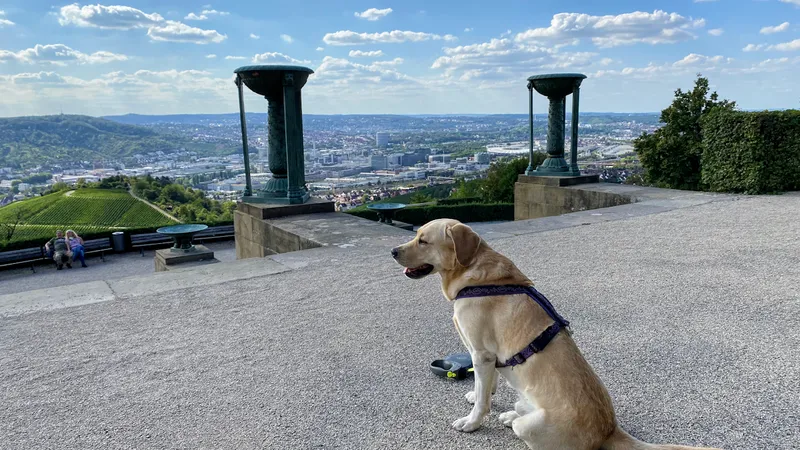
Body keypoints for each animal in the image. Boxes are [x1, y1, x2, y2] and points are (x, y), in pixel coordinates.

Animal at [390, 219, 720, 450]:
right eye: (416, 234)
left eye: (423, 240)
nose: (392, 251)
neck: (477, 278)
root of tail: (609, 429)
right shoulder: (487, 357)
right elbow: (487, 387)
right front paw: (479, 395)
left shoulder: (481, 353)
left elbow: (483, 400)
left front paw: (472, 422)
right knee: (518, 409)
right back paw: (510, 415)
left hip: (533, 427)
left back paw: (512, 421)